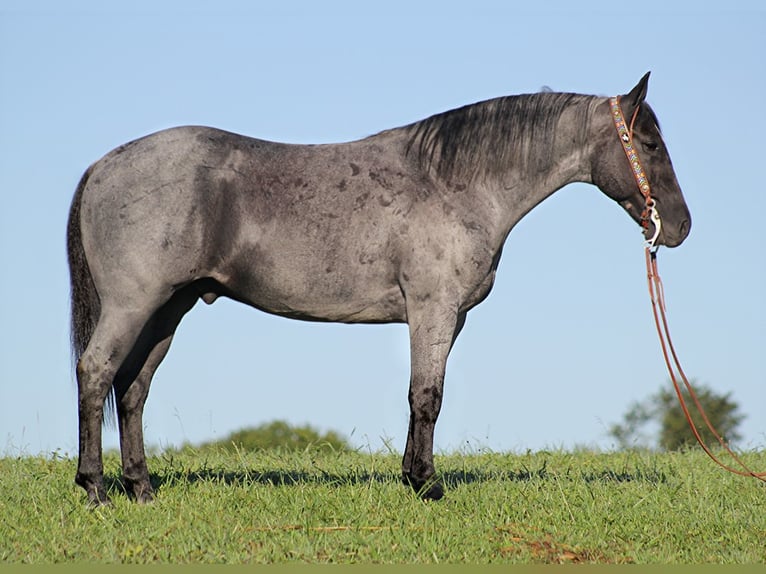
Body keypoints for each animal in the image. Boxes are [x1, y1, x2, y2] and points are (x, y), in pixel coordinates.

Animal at [69, 73, 692, 508]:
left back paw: (141, 489)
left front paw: (413, 477)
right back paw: (94, 488)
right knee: (96, 373)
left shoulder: (447, 318)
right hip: (133, 304)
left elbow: (421, 396)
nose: (681, 227)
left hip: (167, 309)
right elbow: (428, 395)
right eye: (649, 143)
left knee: (133, 387)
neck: (454, 182)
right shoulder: (433, 309)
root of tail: (104, 165)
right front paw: (428, 485)